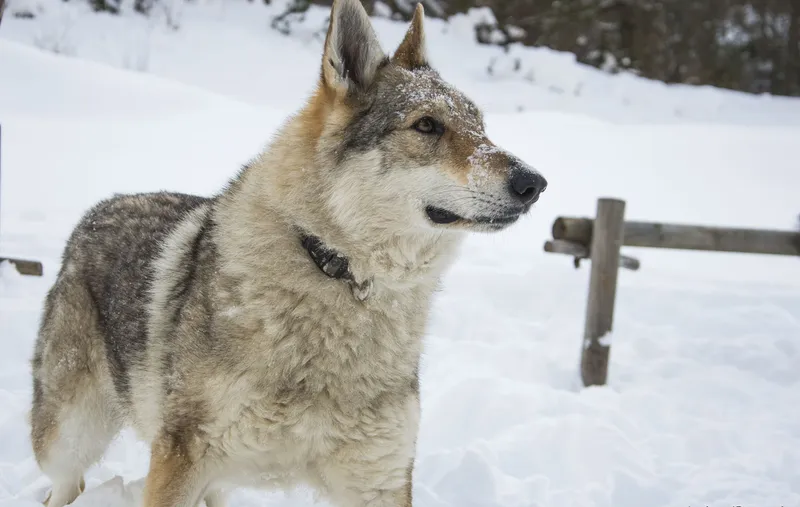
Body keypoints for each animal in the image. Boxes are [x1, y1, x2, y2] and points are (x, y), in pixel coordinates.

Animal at [29, 1, 547, 505]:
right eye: (427, 125)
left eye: (482, 128)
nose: (535, 183)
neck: (340, 274)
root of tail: (102, 206)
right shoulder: (181, 460)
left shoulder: (379, 480)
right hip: (69, 440)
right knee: (66, 487)